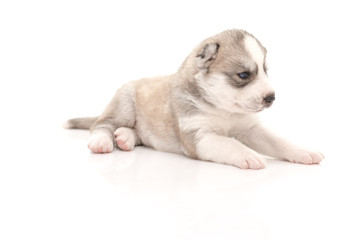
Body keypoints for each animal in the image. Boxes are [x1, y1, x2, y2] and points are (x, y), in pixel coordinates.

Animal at [64, 29, 324, 169]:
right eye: (243, 75)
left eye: (265, 70)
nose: (271, 98)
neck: (223, 109)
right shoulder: (199, 136)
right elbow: (230, 143)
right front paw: (248, 154)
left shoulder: (252, 129)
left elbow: (279, 141)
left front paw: (303, 151)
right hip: (124, 103)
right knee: (102, 124)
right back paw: (103, 141)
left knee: (136, 134)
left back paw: (125, 138)